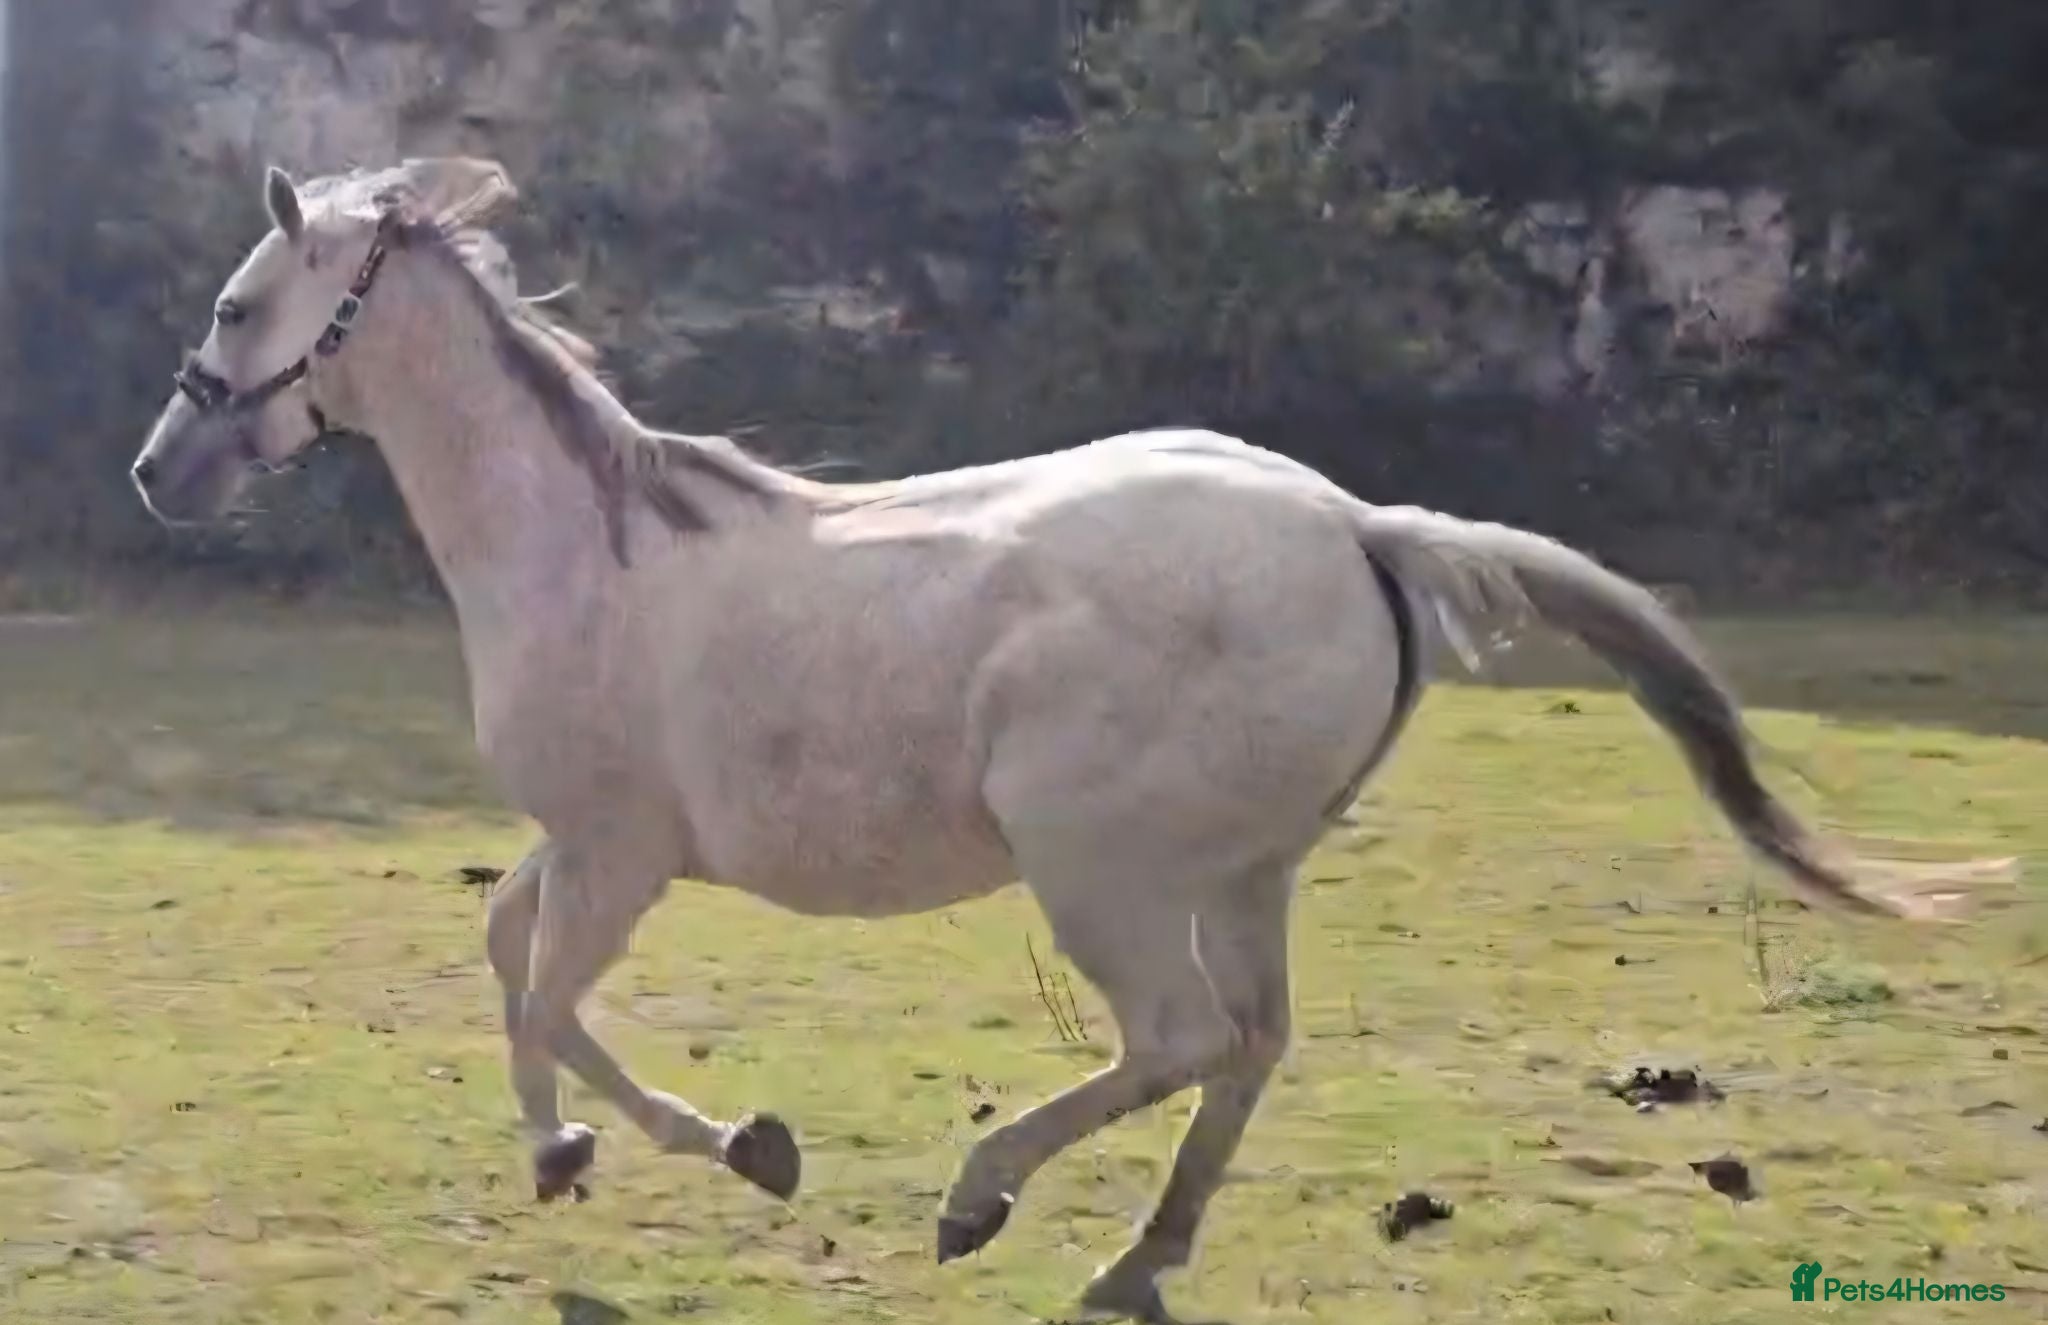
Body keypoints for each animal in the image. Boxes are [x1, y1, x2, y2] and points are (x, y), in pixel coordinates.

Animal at [130, 157, 1967, 1322]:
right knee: (1250, 1047)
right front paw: (597, 1156)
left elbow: (542, 995)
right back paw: (1131, 1262)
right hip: (1244, 870)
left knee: (1177, 1039)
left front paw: (705, 1152)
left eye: (234, 305)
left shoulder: (619, 852)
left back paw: (982, 1197)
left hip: (1093, 862)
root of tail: (1361, 527)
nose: (161, 470)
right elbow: (504, 952)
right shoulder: (583, 846)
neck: (586, 551)